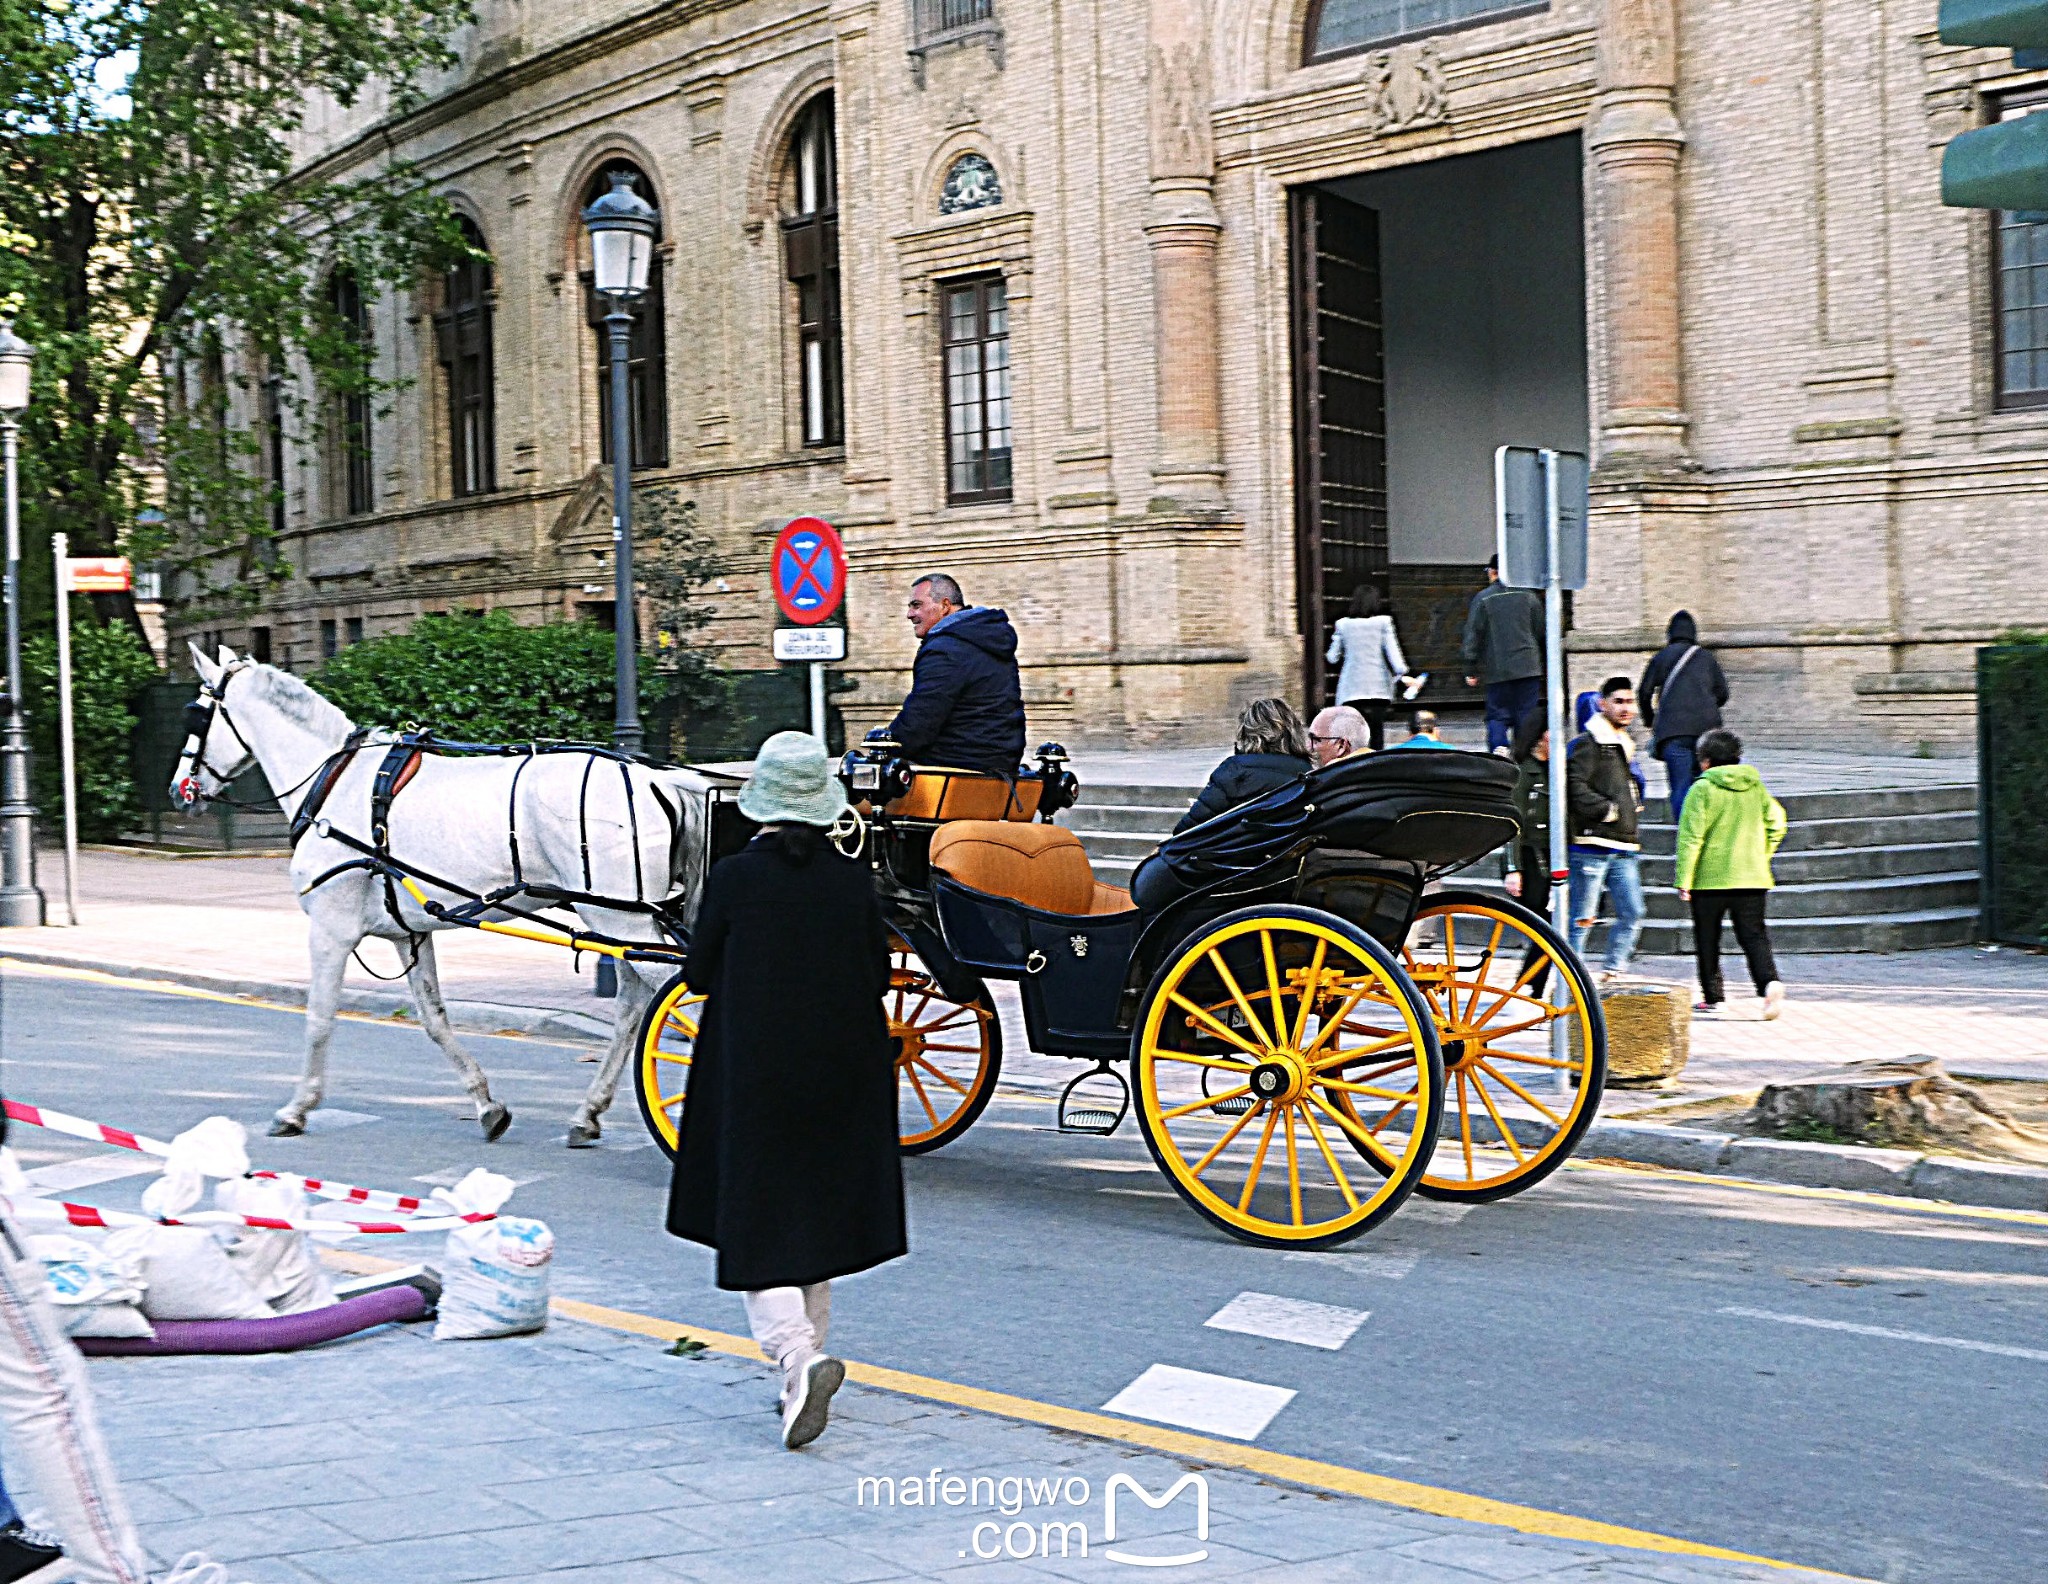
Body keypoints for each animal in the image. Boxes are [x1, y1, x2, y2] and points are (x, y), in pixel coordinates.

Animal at [163, 647, 704, 1147]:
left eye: (197, 712)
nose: (178, 789)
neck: (335, 783)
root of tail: (655, 777)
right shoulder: (410, 934)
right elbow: (433, 1019)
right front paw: (487, 1104)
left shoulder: (331, 929)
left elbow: (319, 1017)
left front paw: (297, 1108)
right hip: (619, 920)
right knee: (634, 1006)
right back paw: (587, 1113)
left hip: (618, 917)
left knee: (674, 1000)